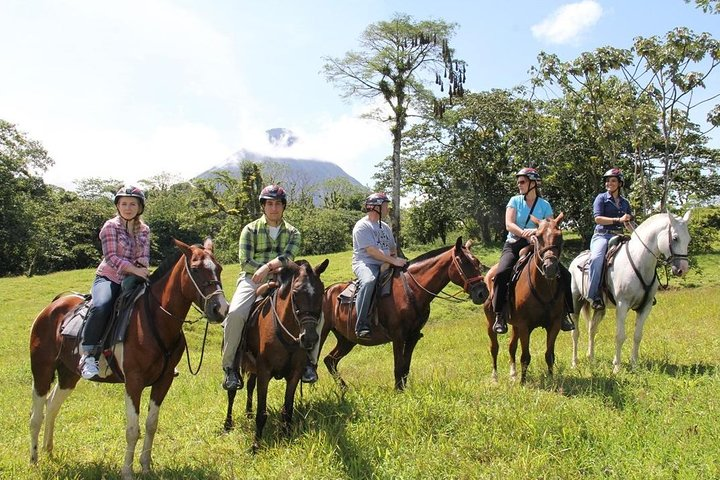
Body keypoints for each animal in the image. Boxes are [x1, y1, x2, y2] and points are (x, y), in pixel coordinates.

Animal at [30, 238, 228, 478]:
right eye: (196, 269)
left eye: (219, 268)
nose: (221, 309)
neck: (155, 318)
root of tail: (51, 308)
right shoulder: (134, 382)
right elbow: (133, 430)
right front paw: (127, 471)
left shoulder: (164, 381)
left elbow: (151, 424)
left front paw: (146, 466)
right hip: (41, 370)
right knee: (36, 415)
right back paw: (34, 460)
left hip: (68, 375)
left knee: (52, 406)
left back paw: (49, 451)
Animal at [222, 256, 330, 452]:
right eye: (295, 292)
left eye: (321, 292)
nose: (309, 338)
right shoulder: (264, 372)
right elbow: (262, 412)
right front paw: (256, 445)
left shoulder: (294, 374)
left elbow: (287, 409)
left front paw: (286, 437)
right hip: (235, 361)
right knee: (232, 393)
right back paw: (227, 424)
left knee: (250, 386)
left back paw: (247, 412)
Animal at [320, 236, 490, 390]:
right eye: (464, 262)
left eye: (477, 263)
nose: (483, 293)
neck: (411, 289)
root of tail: (326, 291)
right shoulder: (398, 336)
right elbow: (398, 366)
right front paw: (398, 392)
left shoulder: (413, 336)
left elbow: (405, 367)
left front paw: (403, 391)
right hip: (323, 334)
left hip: (347, 339)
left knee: (330, 360)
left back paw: (345, 389)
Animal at [484, 212, 568, 384]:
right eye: (538, 236)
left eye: (559, 236)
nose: (550, 268)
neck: (544, 288)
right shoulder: (524, 326)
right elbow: (525, 357)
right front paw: (523, 383)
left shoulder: (554, 324)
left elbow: (549, 355)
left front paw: (552, 380)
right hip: (491, 323)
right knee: (494, 348)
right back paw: (495, 377)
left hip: (514, 325)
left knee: (511, 347)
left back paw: (513, 374)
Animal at [568, 212, 692, 374]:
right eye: (676, 238)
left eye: (689, 239)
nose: (682, 269)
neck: (639, 262)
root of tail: (575, 260)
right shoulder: (622, 305)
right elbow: (620, 336)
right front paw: (617, 367)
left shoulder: (645, 307)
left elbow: (637, 335)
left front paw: (634, 364)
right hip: (575, 304)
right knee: (575, 333)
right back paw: (574, 363)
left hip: (600, 308)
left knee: (592, 330)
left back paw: (591, 359)